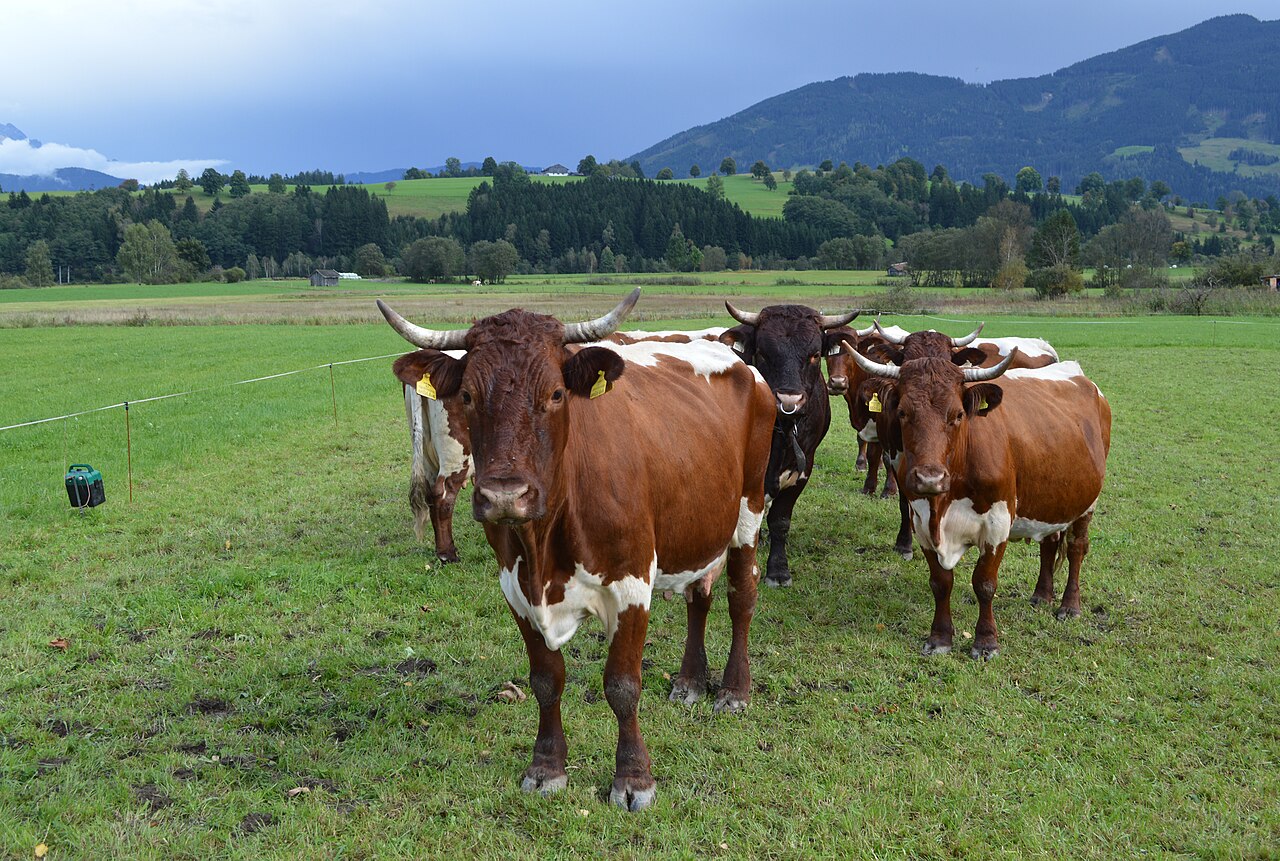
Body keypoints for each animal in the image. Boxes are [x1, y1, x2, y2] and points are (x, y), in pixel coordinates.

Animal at [379, 290, 775, 811]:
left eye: (555, 394)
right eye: (466, 396)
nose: (505, 496)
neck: (545, 540)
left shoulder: (632, 583)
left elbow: (622, 685)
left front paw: (634, 779)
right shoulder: (515, 589)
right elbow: (546, 680)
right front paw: (546, 768)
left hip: (749, 508)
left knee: (741, 597)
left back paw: (734, 690)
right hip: (698, 526)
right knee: (699, 595)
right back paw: (690, 681)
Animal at [718, 302, 859, 587]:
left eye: (815, 355)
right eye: (762, 353)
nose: (788, 400)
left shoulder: (802, 469)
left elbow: (780, 520)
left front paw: (778, 570)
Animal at [847, 343, 1111, 659]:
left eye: (958, 414)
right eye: (902, 412)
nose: (929, 479)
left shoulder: (997, 523)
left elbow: (984, 583)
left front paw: (985, 642)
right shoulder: (921, 523)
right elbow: (940, 583)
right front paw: (939, 638)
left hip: (1087, 503)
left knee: (1076, 548)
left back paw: (1069, 606)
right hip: (1052, 500)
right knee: (1048, 543)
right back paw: (1041, 595)